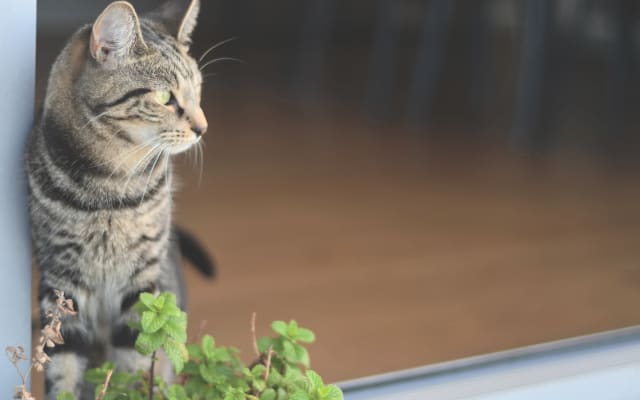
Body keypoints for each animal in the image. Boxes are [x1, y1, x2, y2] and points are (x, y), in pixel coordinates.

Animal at [25, 1, 211, 398]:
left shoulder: (142, 284)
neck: (109, 189)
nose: (203, 127)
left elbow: (137, 366)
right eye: (164, 98)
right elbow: (62, 369)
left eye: (198, 90)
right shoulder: (61, 283)